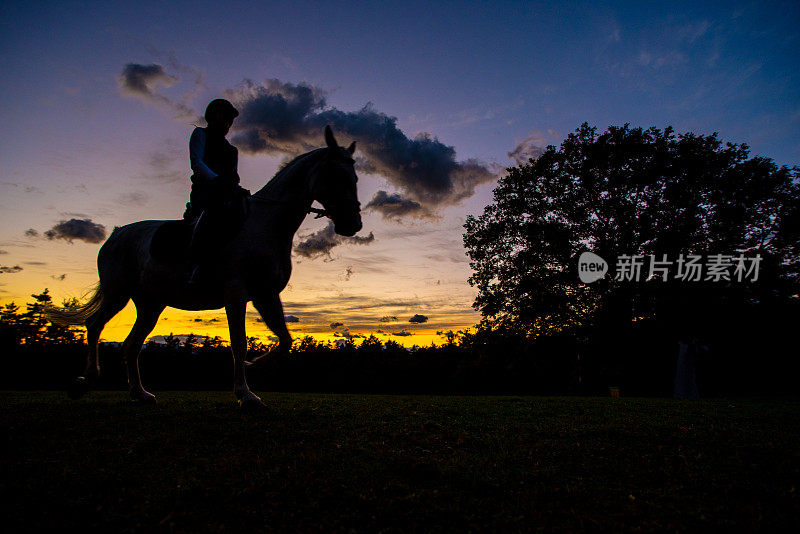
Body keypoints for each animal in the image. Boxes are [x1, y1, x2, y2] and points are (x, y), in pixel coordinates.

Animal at [48, 125, 360, 410]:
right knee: (95, 325)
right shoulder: (236, 294)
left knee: (131, 344)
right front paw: (246, 394)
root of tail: (116, 234)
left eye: (355, 177)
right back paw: (84, 382)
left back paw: (140, 393)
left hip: (150, 304)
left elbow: (285, 339)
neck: (264, 225)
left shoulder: (266, 295)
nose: (353, 224)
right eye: (337, 175)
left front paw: (257, 364)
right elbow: (239, 342)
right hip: (118, 294)